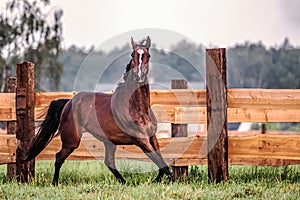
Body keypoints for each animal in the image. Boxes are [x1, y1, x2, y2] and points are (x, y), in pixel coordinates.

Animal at [25, 36, 176, 186]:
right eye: (132, 55)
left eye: (148, 55)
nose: (138, 75)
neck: (138, 108)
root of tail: (68, 102)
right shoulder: (141, 140)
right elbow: (159, 161)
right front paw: (171, 180)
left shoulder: (152, 137)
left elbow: (160, 160)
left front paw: (158, 180)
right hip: (72, 140)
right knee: (59, 157)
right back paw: (55, 182)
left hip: (109, 142)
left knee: (108, 162)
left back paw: (124, 181)